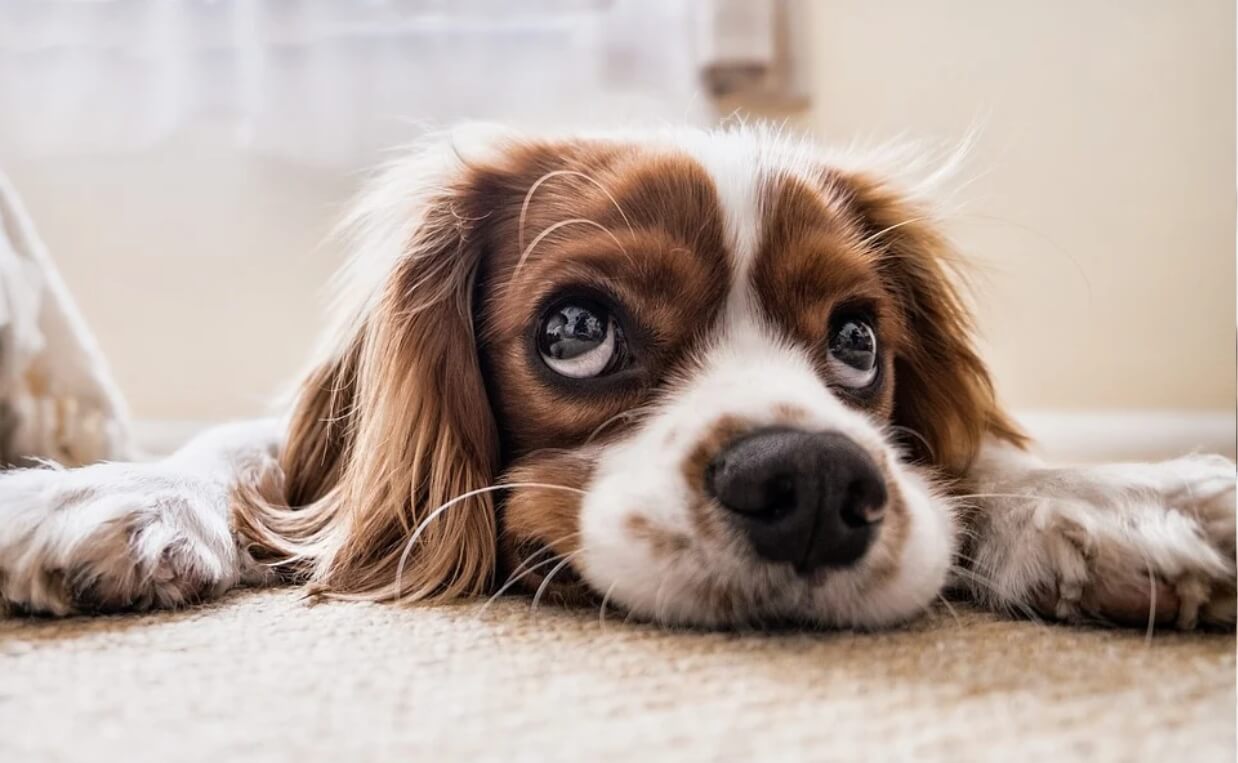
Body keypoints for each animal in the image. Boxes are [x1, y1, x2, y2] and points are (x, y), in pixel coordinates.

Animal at [2, 122, 1238, 629]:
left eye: (856, 342)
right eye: (576, 329)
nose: (813, 484)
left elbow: (976, 460)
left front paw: (1118, 500)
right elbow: (244, 450)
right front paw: (108, 492)